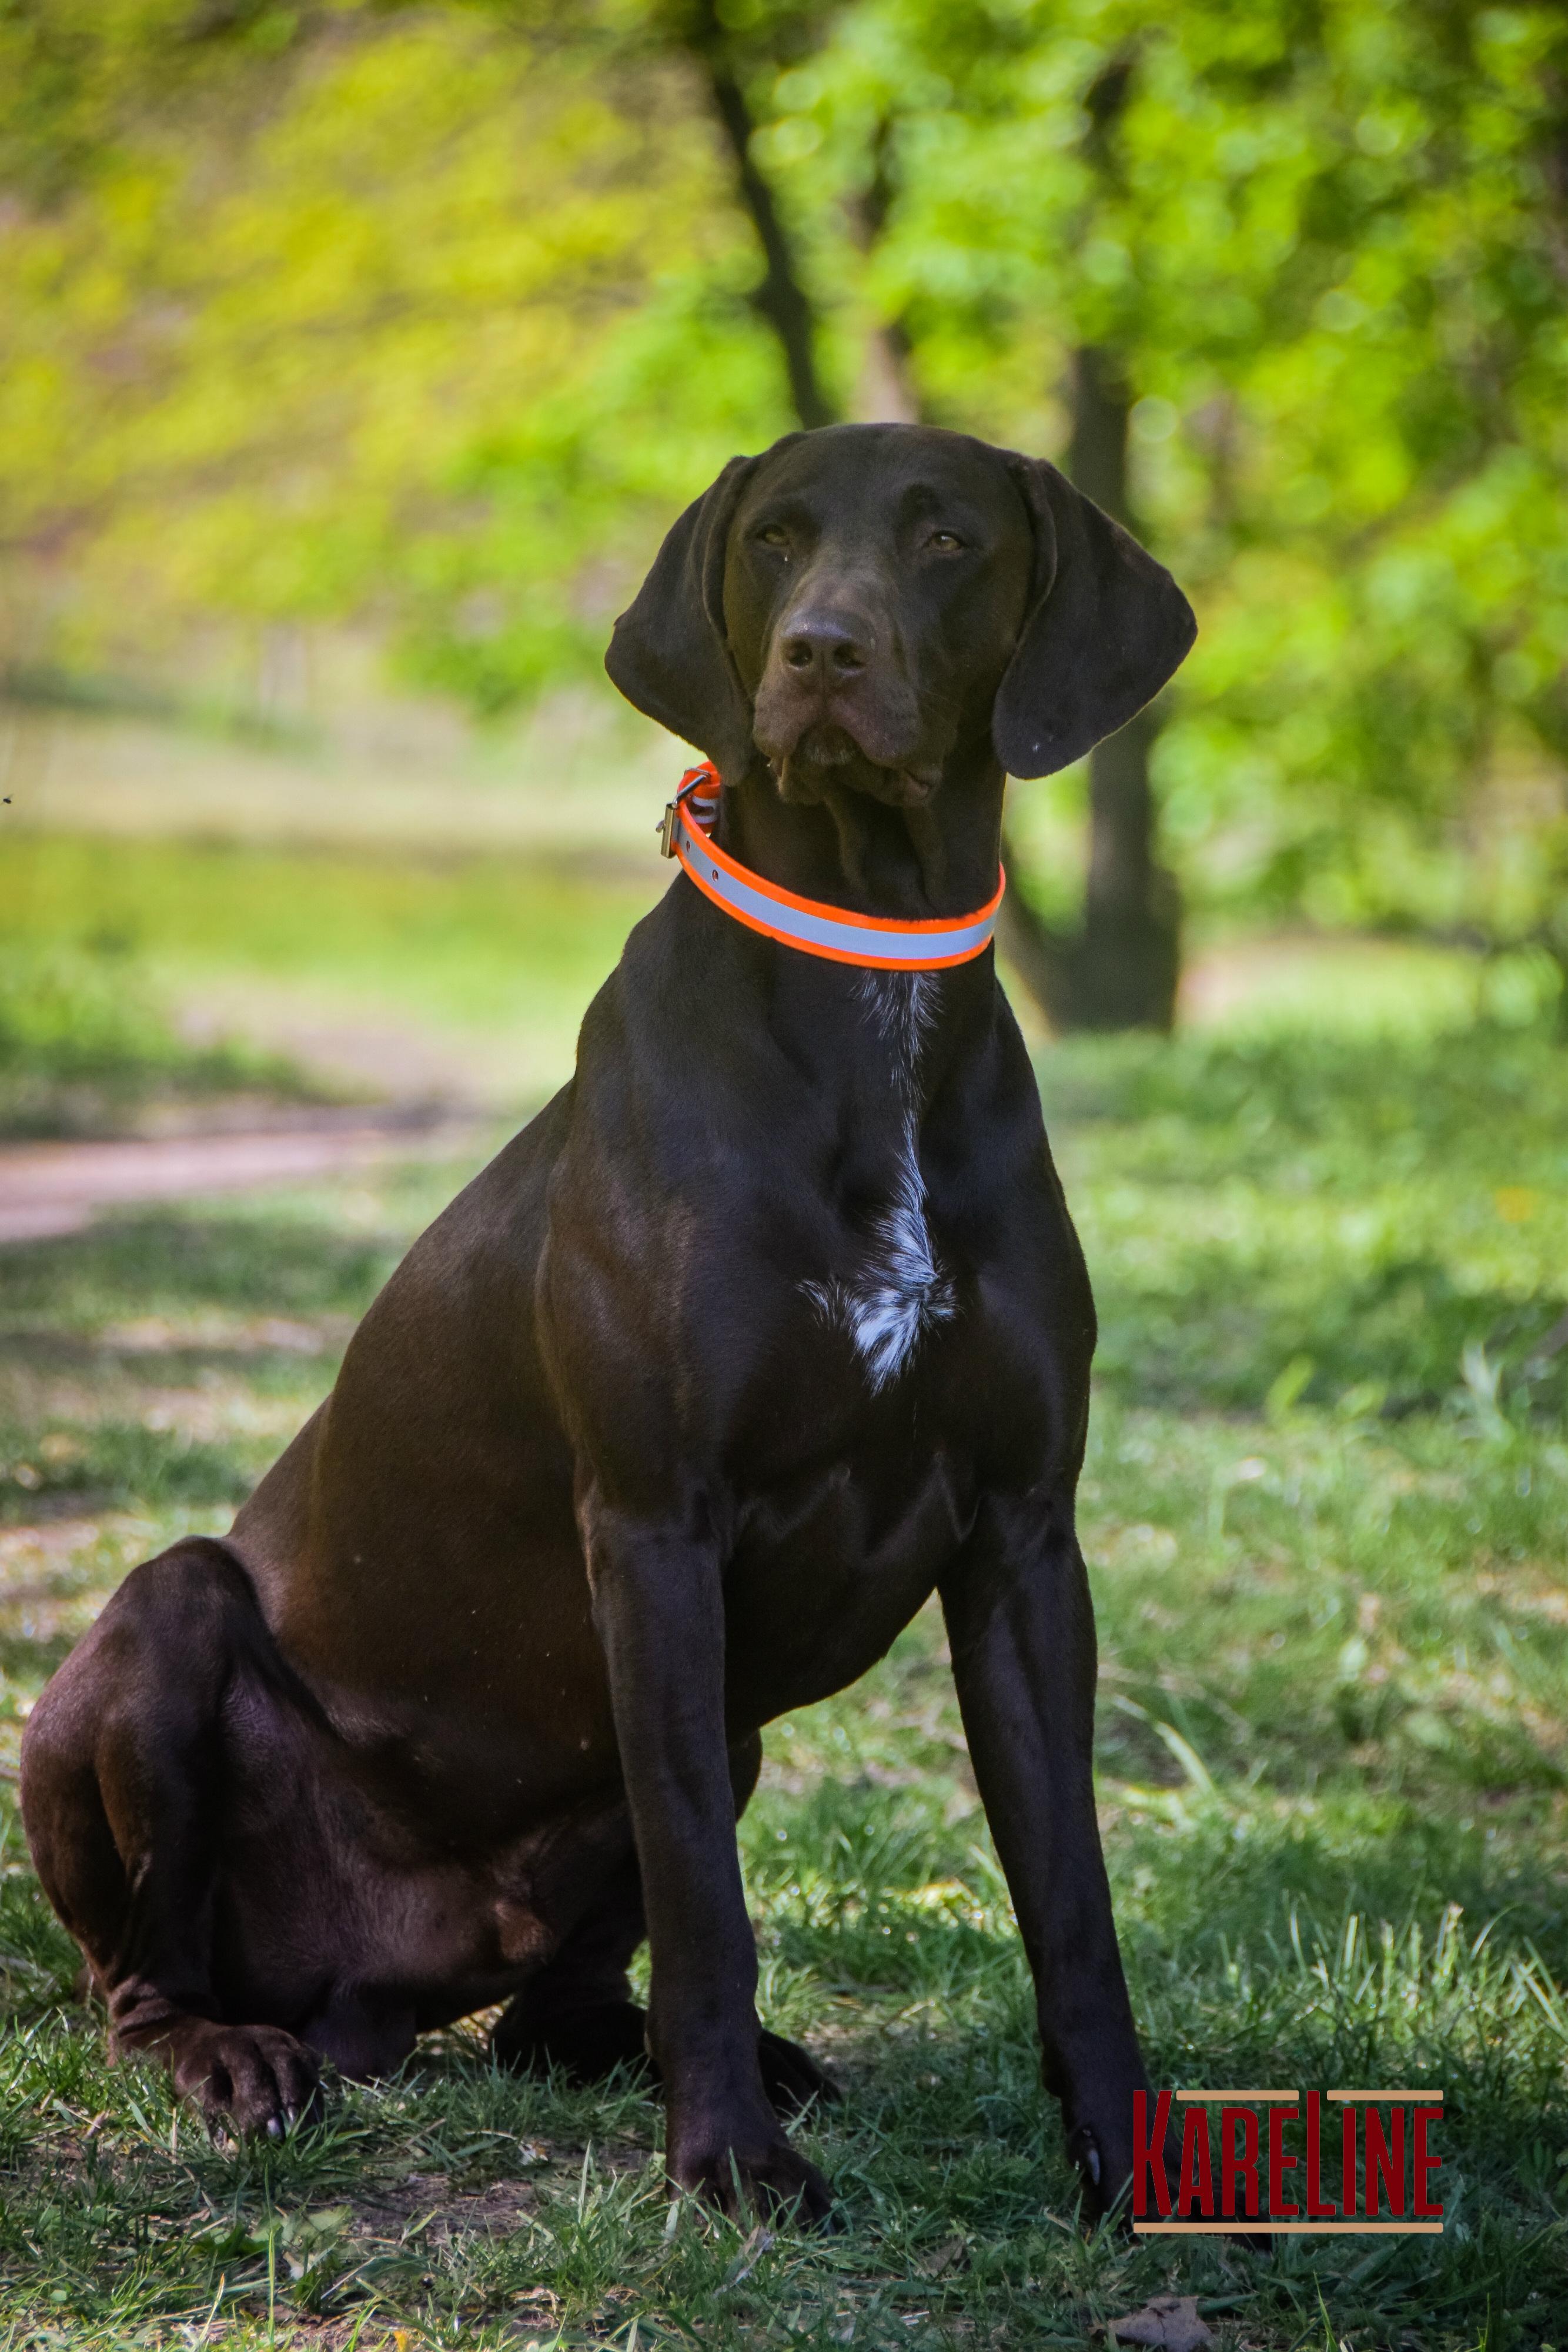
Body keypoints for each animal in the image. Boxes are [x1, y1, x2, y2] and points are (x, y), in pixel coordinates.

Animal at [18, 428, 1194, 2220]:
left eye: (946, 539)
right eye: (775, 539)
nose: (821, 655)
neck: (870, 981)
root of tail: (370, 1991)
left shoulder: (1022, 1545)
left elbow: (1071, 1897)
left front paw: (1125, 2162)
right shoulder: (654, 1527)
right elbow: (709, 1895)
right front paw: (728, 2164)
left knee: (550, 2004)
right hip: (163, 1633)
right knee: (142, 1975)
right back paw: (233, 2058)